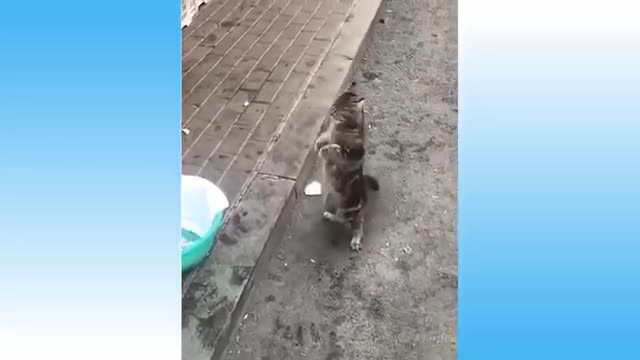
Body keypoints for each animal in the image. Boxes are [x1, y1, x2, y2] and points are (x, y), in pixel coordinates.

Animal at [316, 84, 380, 252]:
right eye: (332, 107)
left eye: (337, 109)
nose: (331, 112)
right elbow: (324, 140)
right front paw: (321, 143)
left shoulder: (356, 153)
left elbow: (338, 149)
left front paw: (327, 149)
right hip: (330, 200)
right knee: (339, 218)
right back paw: (330, 216)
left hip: (348, 210)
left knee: (357, 224)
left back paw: (356, 239)